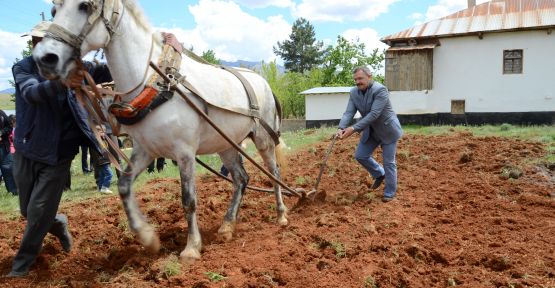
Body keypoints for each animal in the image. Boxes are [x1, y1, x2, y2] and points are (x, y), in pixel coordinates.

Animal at [32, 0, 288, 260]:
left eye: (85, 5)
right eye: (53, 11)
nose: (45, 58)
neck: (157, 82)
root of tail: (263, 82)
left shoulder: (184, 153)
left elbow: (188, 199)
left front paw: (191, 247)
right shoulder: (145, 151)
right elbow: (124, 186)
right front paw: (147, 237)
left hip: (263, 139)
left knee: (273, 173)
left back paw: (281, 214)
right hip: (226, 144)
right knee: (241, 179)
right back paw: (227, 226)